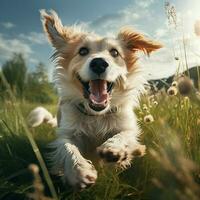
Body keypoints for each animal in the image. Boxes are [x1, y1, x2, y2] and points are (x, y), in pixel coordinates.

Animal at [28, 9, 162, 190]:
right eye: (83, 51)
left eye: (115, 52)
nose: (99, 63)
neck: (96, 115)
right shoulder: (66, 132)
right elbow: (67, 147)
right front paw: (79, 171)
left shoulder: (127, 126)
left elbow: (124, 135)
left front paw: (114, 148)